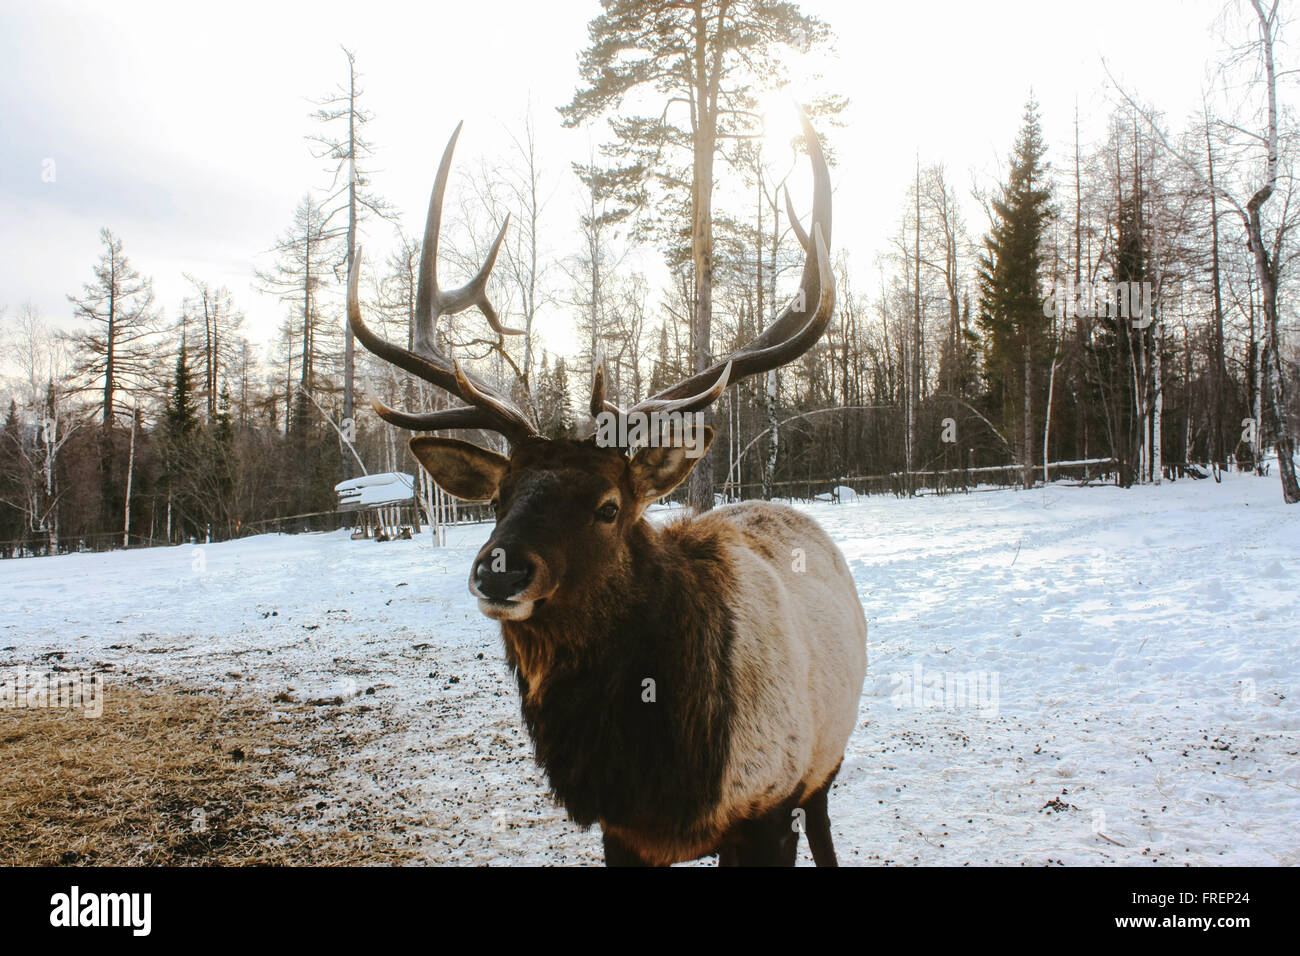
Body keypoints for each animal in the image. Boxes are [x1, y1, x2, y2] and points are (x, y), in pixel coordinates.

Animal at [351, 115, 868, 863]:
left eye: (608, 507)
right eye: (499, 499)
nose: (499, 570)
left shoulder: (768, 807)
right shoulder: (620, 832)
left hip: (826, 763)